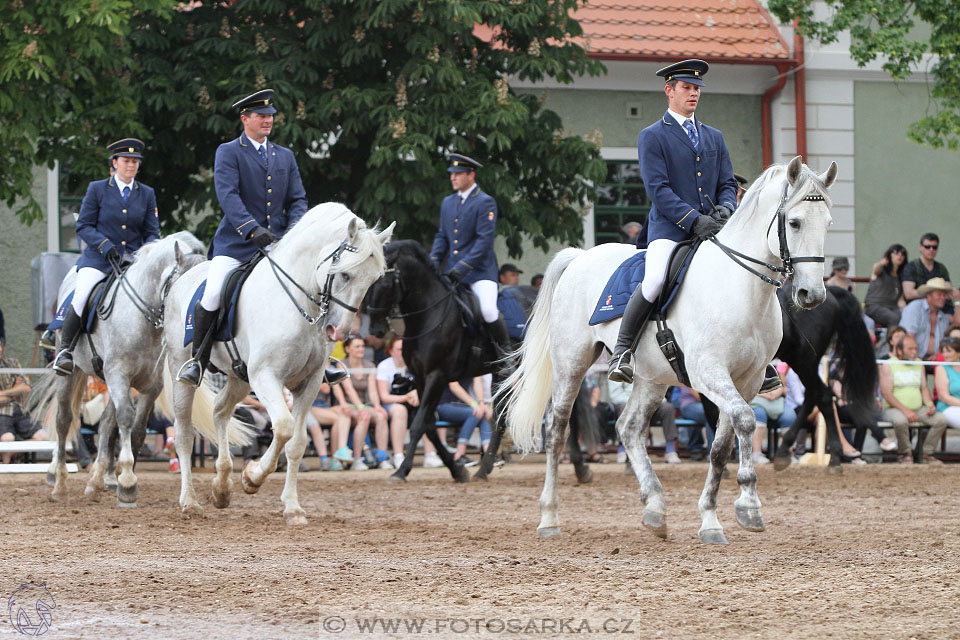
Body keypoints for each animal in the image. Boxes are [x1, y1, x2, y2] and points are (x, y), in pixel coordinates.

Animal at [39, 230, 219, 504]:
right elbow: (125, 418)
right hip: (71, 373)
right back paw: (58, 482)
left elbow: (136, 430)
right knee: (64, 419)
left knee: (105, 423)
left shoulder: (149, 387)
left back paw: (98, 480)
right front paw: (127, 481)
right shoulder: (118, 375)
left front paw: (123, 478)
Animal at [161, 204, 394, 524]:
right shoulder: (266, 377)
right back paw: (190, 502)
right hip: (182, 371)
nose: (339, 332)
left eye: (372, 280)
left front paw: (292, 507)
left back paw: (222, 487)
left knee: (220, 410)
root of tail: (183, 278)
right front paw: (252, 478)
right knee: (184, 433)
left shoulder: (309, 383)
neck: (299, 304)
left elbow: (296, 442)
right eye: (345, 274)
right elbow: (283, 427)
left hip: (239, 377)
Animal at [364, 242, 596, 482]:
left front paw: (401, 471)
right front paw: (457, 469)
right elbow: (429, 425)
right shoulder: (420, 377)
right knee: (501, 416)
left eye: (383, 282)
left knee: (567, 413)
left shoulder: (436, 376)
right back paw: (484, 469)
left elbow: (419, 424)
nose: (375, 330)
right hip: (503, 372)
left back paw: (581, 468)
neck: (430, 314)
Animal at [498, 158, 836, 544]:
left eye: (828, 223)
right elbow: (746, 421)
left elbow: (721, 447)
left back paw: (655, 508)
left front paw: (711, 520)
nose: (812, 295)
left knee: (629, 428)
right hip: (572, 363)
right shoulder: (709, 374)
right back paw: (550, 517)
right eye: (794, 222)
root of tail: (581, 257)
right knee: (557, 430)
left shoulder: (746, 381)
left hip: (652, 377)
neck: (741, 289)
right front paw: (749, 504)